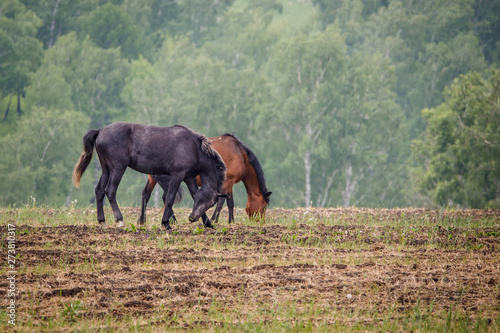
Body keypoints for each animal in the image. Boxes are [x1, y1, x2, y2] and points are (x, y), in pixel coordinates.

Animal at [72, 121, 227, 228]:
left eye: (211, 204)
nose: (192, 218)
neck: (194, 148)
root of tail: (100, 131)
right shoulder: (177, 175)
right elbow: (170, 198)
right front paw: (166, 223)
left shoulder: (189, 178)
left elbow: (194, 194)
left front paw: (208, 223)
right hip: (118, 168)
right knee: (110, 191)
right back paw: (120, 219)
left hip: (106, 169)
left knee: (99, 190)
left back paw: (102, 220)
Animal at [139, 133, 272, 223]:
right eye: (264, 207)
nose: (260, 222)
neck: (240, 154)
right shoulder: (228, 182)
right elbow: (222, 201)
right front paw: (214, 220)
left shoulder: (230, 182)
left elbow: (230, 202)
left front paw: (231, 221)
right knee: (164, 196)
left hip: (154, 177)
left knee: (147, 194)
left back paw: (143, 220)